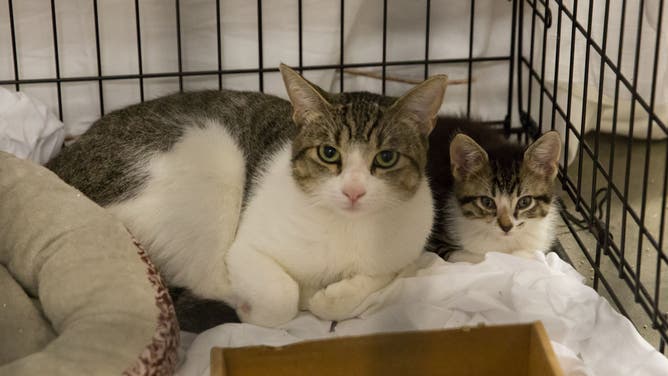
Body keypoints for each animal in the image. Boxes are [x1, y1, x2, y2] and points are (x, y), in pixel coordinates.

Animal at [48, 66, 448, 328]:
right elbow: (281, 297)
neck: (348, 229)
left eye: (386, 158)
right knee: (206, 277)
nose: (353, 190)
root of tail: (59, 165)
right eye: (329, 153)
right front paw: (290, 300)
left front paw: (334, 296)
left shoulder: (409, 244)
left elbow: (385, 274)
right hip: (212, 154)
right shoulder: (246, 249)